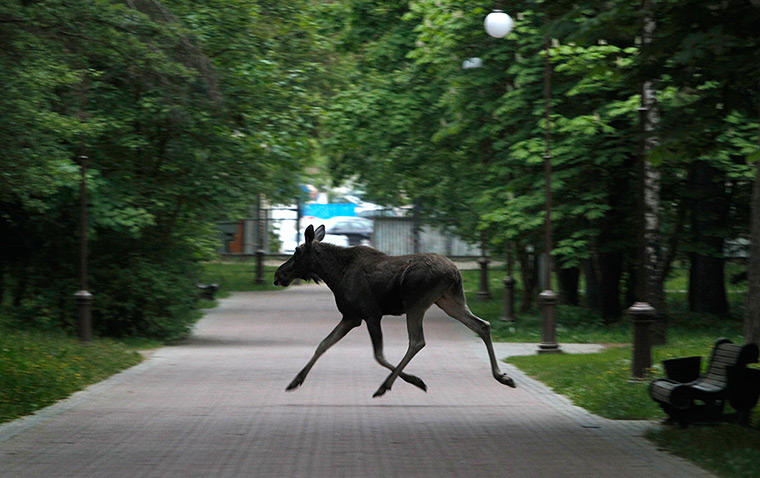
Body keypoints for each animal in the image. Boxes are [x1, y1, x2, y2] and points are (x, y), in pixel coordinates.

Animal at [273, 224, 516, 398]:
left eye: (297, 252)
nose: (278, 274)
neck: (334, 275)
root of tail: (455, 272)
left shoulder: (370, 315)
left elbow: (379, 355)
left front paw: (413, 380)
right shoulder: (351, 317)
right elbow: (323, 345)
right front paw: (295, 380)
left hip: (416, 303)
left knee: (417, 341)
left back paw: (386, 385)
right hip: (449, 301)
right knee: (482, 325)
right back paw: (501, 376)